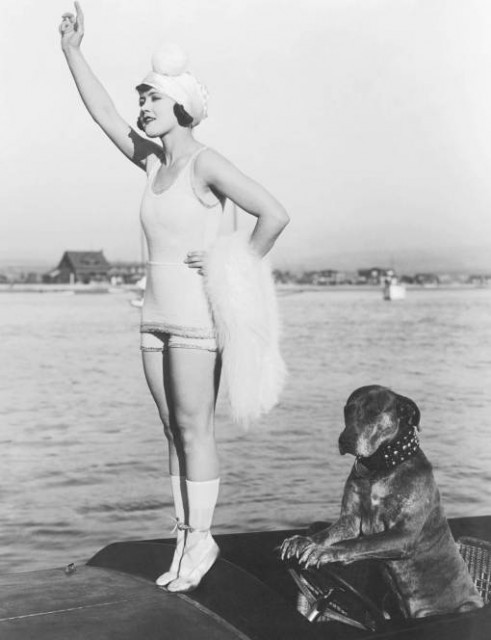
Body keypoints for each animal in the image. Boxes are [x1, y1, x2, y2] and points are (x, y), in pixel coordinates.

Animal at [281, 385, 483, 619]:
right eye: (347, 410)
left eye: (374, 412)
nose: (345, 440)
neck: (379, 469)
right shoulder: (349, 521)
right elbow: (326, 535)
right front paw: (303, 541)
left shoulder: (404, 535)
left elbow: (358, 543)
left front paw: (325, 552)